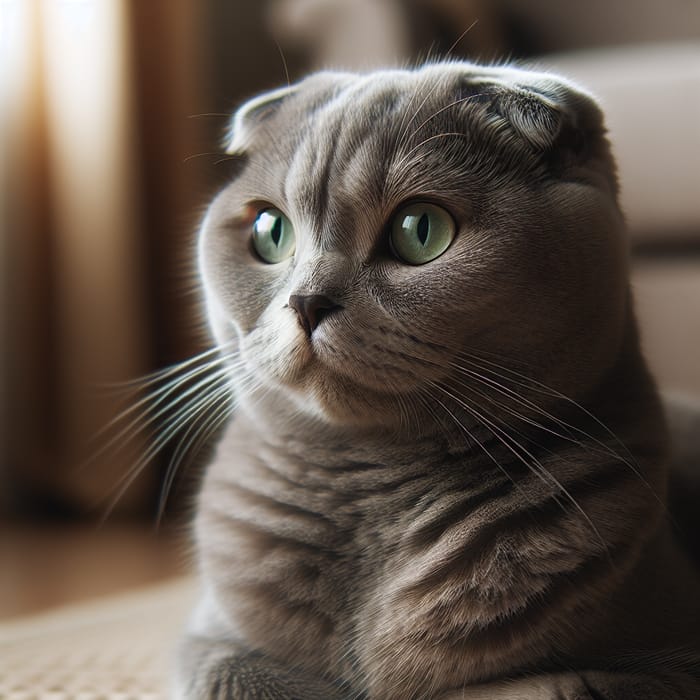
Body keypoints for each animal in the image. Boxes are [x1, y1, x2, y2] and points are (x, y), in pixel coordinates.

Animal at [174, 63, 700, 696]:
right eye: (270, 231)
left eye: (420, 229)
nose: (306, 302)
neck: (368, 504)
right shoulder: (210, 638)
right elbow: (234, 672)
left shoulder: (665, 663)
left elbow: (546, 684)